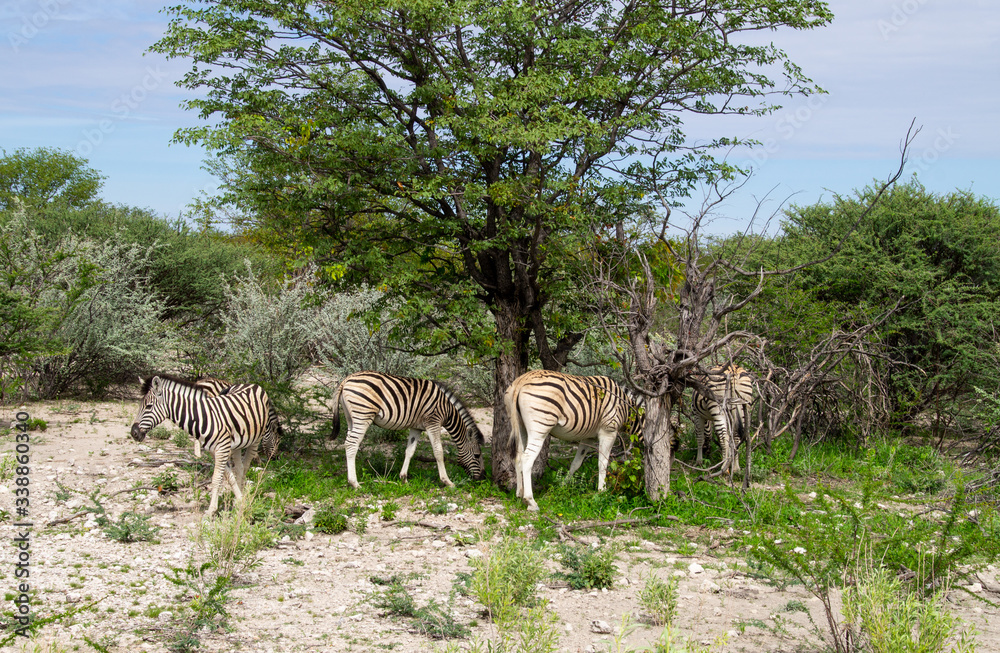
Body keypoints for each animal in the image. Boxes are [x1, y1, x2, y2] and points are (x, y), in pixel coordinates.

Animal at [130, 375, 275, 517]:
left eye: (149, 406)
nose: (134, 433)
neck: (203, 417)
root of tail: (252, 384)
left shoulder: (222, 448)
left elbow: (216, 478)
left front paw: (212, 510)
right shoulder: (214, 450)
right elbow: (228, 476)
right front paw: (238, 500)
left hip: (255, 440)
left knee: (245, 466)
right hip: (237, 445)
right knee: (239, 468)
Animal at [330, 371, 486, 488]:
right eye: (477, 455)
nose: (483, 478)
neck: (447, 409)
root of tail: (346, 379)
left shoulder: (416, 427)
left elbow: (410, 451)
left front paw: (404, 479)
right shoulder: (433, 422)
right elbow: (438, 452)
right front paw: (447, 481)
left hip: (351, 417)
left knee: (347, 443)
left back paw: (352, 481)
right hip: (363, 415)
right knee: (352, 444)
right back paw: (355, 483)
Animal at [504, 370, 644, 511]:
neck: (627, 409)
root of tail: (522, 379)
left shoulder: (588, 437)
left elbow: (576, 463)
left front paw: (563, 485)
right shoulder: (609, 431)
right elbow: (603, 463)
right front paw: (602, 492)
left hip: (520, 425)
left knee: (518, 456)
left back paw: (519, 494)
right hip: (540, 426)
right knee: (527, 458)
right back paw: (530, 501)